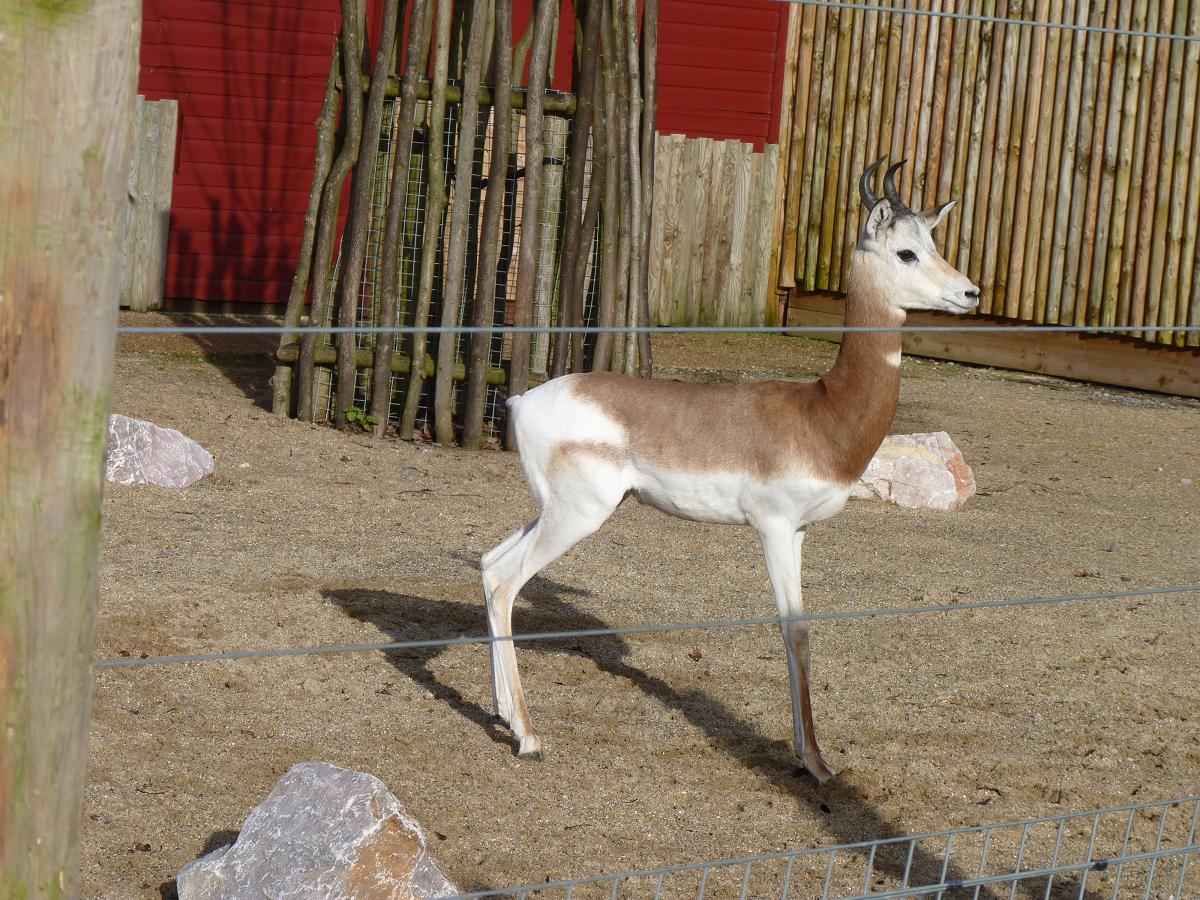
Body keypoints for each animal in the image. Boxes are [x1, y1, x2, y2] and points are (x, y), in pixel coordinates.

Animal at [480, 158, 979, 782]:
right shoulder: (773, 528)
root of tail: (522, 399)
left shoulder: (800, 531)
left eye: (934, 243)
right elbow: (793, 629)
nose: (971, 292)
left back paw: (504, 714)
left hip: (554, 512)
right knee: (506, 583)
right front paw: (815, 762)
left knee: (488, 565)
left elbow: (803, 632)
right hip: (577, 516)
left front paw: (814, 756)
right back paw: (528, 736)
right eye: (906, 252)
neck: (821, 412)